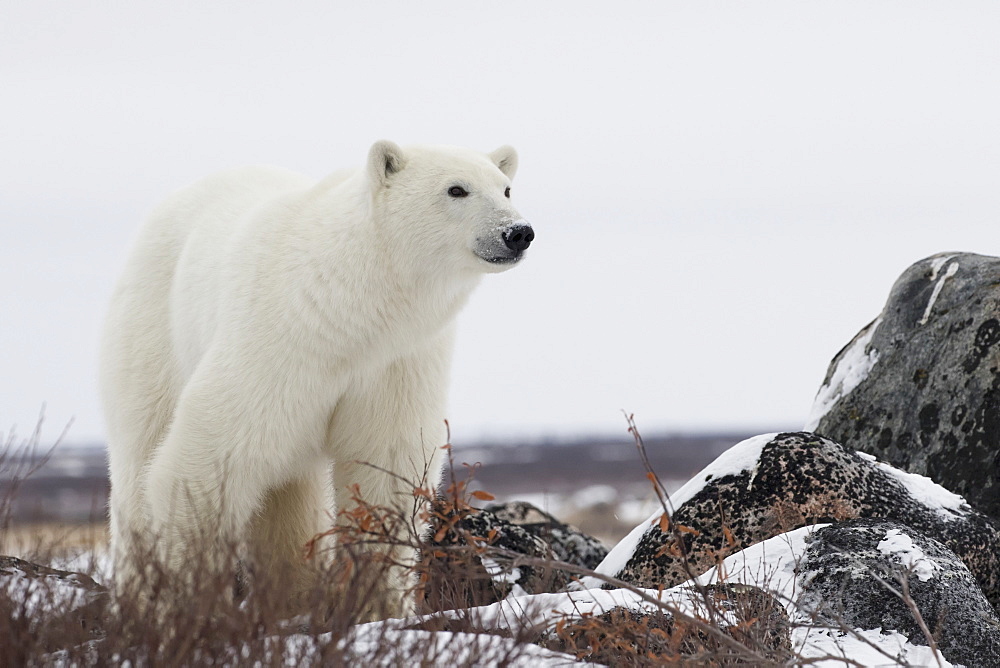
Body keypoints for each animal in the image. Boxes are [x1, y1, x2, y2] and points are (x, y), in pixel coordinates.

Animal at [99, 142, 532, 616]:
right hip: (155, 330)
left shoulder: (397, 360)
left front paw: (378, 607)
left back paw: (294, 596)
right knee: (141, 451)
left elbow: (384, 463)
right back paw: (137, 594)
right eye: (456, 189)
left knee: (291, 499)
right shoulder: (280, 341)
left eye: (506, 188)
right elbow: (208, 456)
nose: (518, 232)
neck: (352, 309)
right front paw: (187, 604)